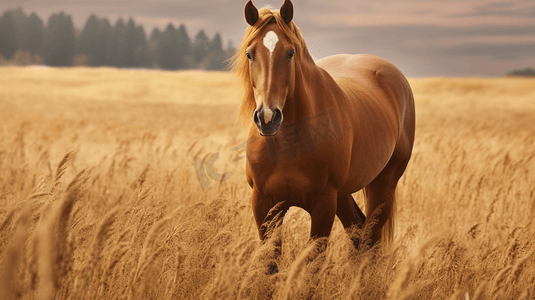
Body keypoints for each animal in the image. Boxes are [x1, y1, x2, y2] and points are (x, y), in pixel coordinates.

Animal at [233, 0, 414, 258]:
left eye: (290, 53)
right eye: (250, 54)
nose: (268, 117)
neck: (289, 144)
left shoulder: (323, 204)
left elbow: (313, 262)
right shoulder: (264, 204)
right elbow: (270, 261)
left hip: (384, 185)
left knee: (371, 240)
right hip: (344, 194)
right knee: (359, 234)